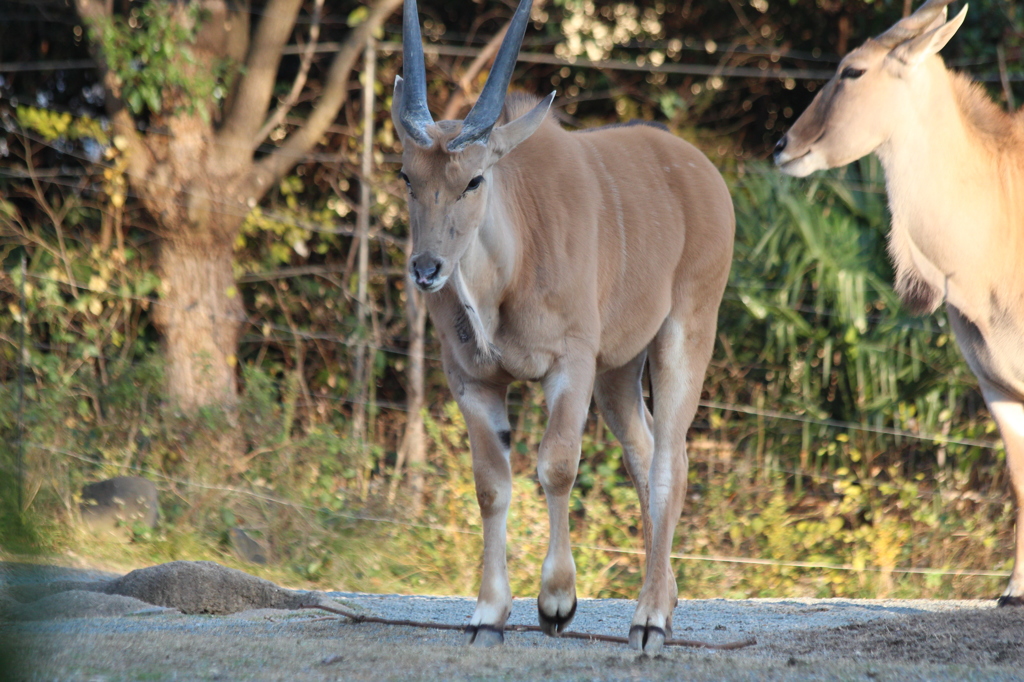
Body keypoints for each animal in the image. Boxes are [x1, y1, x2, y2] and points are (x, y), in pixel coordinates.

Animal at [391, 0, 737, 651]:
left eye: (473, 178)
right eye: (406, 176)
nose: (426, 269)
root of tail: (703, 173)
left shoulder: (570, 365)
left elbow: (555, 466)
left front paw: (555, 601)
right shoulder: (474, 381)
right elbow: (491, 484)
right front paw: (488, 614)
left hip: (685, 334)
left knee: (668, 465)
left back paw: (649, 619)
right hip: (618, 373)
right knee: (645, 451)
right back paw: (666, 598)